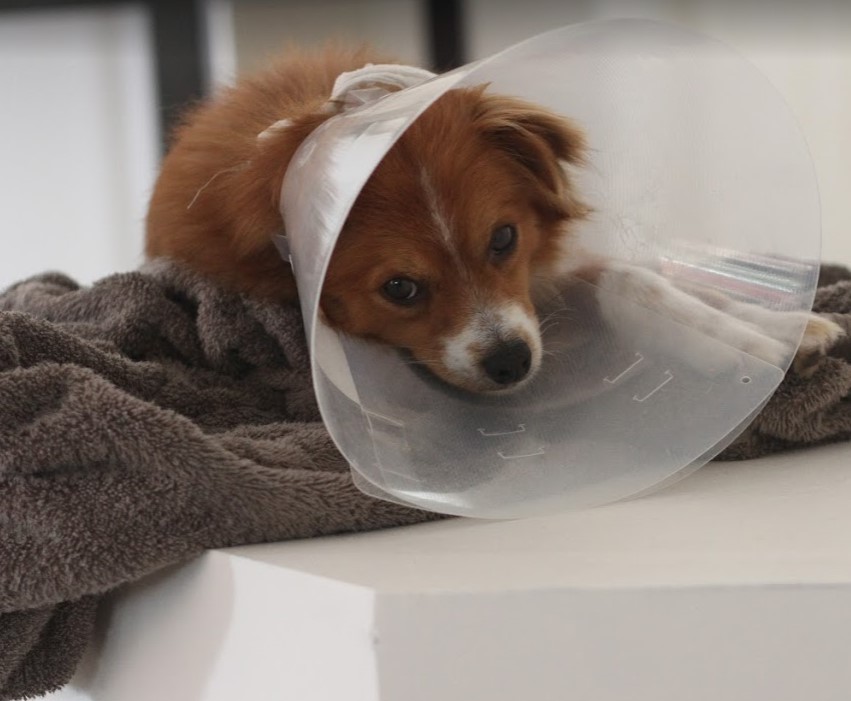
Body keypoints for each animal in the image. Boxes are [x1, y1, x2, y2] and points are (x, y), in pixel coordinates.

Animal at [146, 45, 844, 392]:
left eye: (504, 238)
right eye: (400, 288)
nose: (512, 363)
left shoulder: (542, 275)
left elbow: (636, 279)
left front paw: (771, 331)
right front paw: (743, 349)